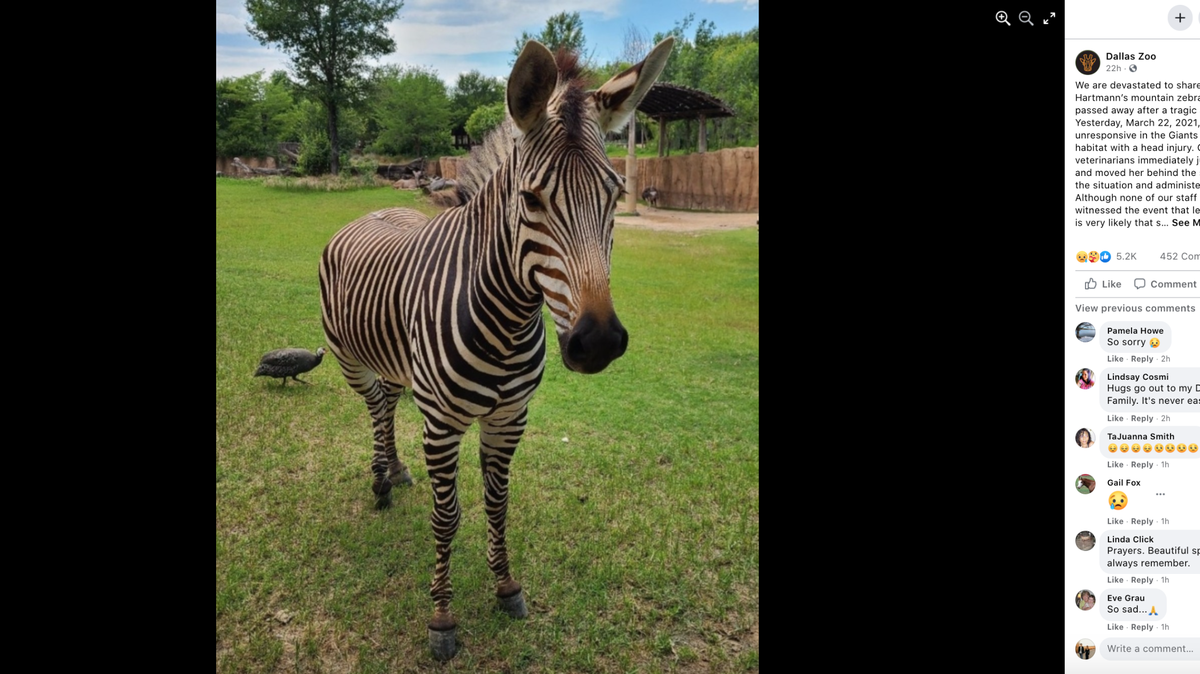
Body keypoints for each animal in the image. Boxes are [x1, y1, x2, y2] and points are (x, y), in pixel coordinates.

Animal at [319, 38, 674, 660]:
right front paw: (442, 618)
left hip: (393, 362)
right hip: (349, 361)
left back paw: (395, 471)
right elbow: (447, 517)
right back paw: (380, 478)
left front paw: (506, 586)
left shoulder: (510, 418)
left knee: (386, 403)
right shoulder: (441, 424)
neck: (506, 320)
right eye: (531, 200)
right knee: (374, 407)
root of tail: (373, 209)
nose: (599, 342)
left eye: (616, 195)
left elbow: (497, 502)